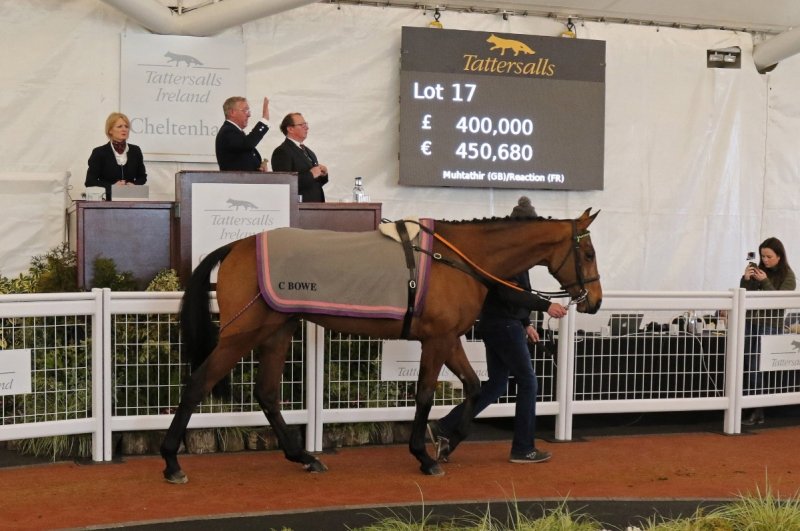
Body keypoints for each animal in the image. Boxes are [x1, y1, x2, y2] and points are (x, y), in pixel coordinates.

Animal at [160, 208, 602, 483]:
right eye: (588, 252)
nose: (594, 301)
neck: (456, 259)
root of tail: (237, 245)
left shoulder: (449, 338)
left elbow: (475, 386)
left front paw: (447, 442)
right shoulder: (437, 340)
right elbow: (425, 395)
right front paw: (425, 457)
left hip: (277, 330)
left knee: (267, 394)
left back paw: (305, 457)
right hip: (243, 332)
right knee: (198, 384)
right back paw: (171, 462)